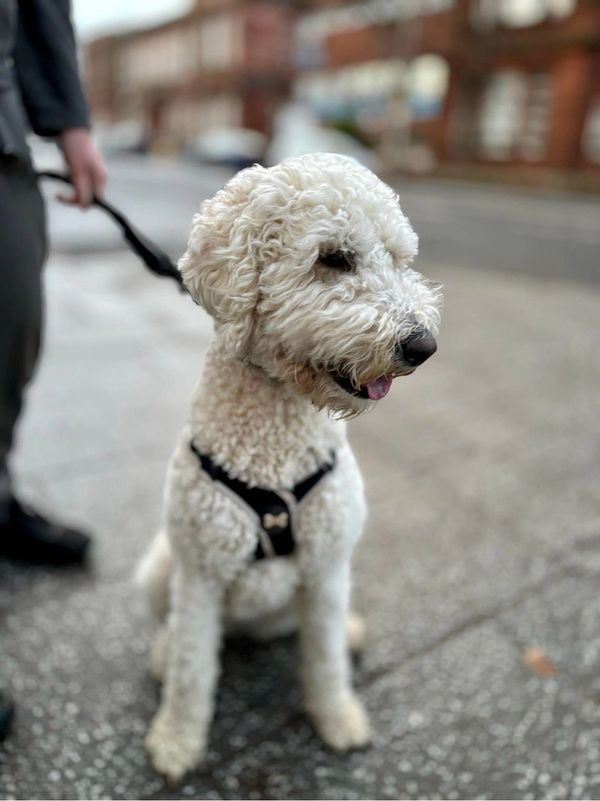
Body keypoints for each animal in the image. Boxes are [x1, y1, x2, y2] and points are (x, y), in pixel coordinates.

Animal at [138, 152, 442, 780]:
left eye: (399, 259)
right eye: (334, 258)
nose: (422, 346)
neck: (274, 442)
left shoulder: (327, 569)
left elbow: (324, 660)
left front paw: (339, 719)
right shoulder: (200, 575)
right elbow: (192, 671)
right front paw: (176, 740)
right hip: (161, 567)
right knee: (173, 633)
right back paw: (161, 653)